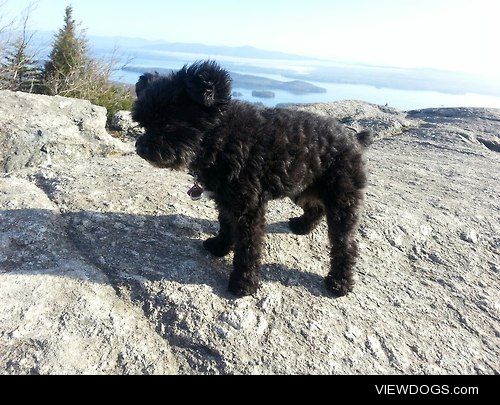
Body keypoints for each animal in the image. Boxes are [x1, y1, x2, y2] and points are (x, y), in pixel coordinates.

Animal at [133, 60, 372, 296]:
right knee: (316, 207)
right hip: (302, 184)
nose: (140, 148)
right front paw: (220, 246)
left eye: (167, 122)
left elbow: (249, 246)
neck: (222, 138)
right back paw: (302, 226)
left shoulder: (248, 207)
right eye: (144, 123)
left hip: (342, 200)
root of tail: (355, 139)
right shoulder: (226, 199)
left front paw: (244, 283)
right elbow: (226, 225)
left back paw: (340, 282)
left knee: (346, 244)